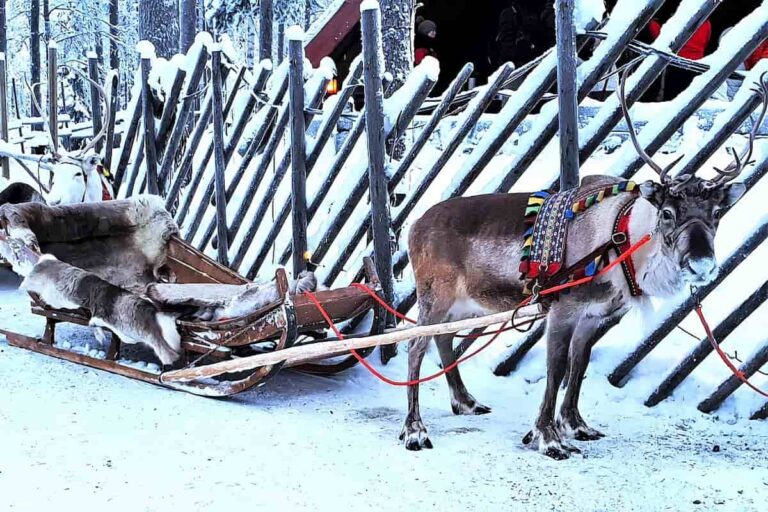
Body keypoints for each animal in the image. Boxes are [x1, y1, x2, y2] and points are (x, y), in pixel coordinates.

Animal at [399, 71, 764, 459]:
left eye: (717, 213)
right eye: (667, 212)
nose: (701, 263)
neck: (623, 238)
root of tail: (415, 226)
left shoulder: (595, 316)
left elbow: (579, 367)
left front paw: (575, 425)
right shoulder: (563, 309)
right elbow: (556, 369)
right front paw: (548, 437)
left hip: (465, 303)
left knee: (444, 339)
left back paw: (466, 401)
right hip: (434, 297)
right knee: (415, 347)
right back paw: (415, 430)